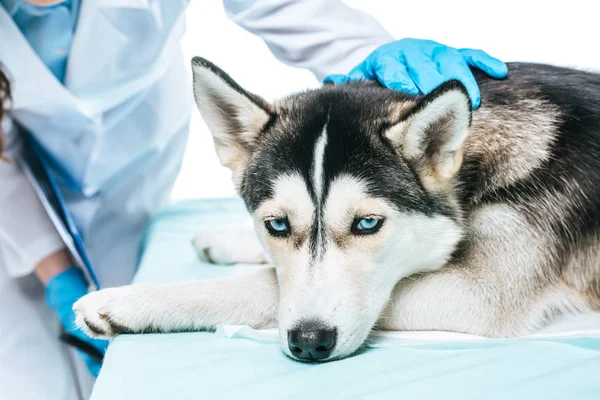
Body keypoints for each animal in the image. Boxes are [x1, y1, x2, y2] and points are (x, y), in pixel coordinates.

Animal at [74, 57, 600, 360]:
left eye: (368, 223)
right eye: (277, 224)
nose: (309, 344)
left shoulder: (478, 294)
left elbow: (261, 287)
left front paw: (127, 302)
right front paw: (226, 238)